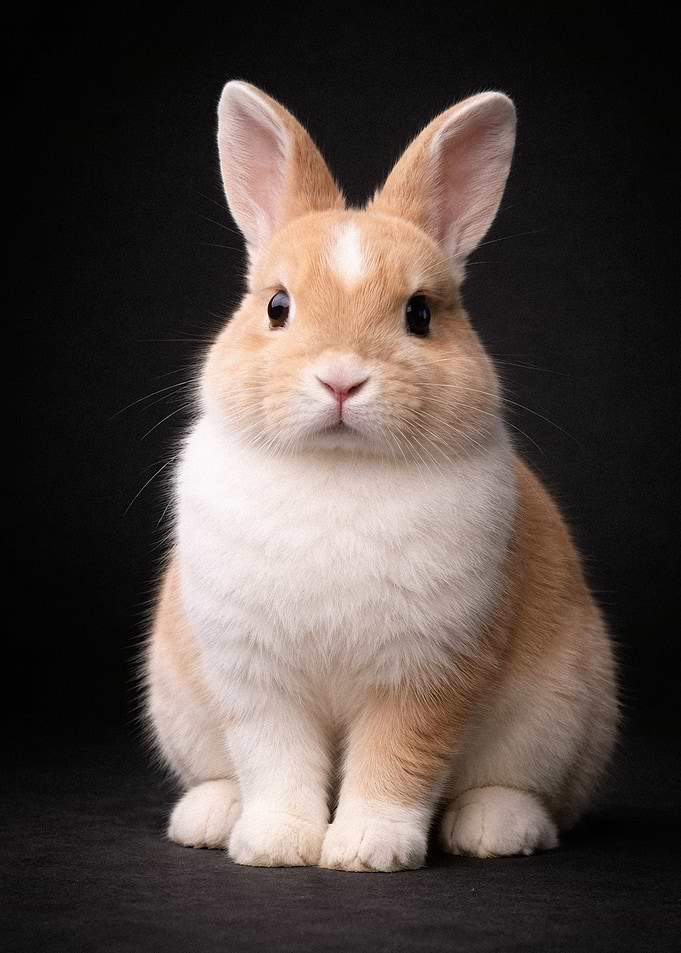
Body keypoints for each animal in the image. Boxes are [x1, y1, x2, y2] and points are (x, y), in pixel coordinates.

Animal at [145, 80, 618, 872]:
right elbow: (274, 761)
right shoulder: (256, 678)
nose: (341, 379)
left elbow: (397, 762)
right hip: (179, 701)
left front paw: (368, 847)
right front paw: (276, 843)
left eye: (419, 314)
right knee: (220, 772)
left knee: (531, 794)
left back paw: (494, 828)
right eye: (277, 306)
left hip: (558, 717)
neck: (341, 469)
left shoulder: (427, 672)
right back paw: (210, 816)